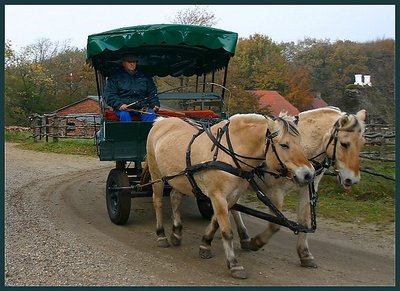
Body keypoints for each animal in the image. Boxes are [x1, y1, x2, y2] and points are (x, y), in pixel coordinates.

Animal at [145, 114, 316, 280]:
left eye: (300, 142)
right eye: (284, 145)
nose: (308, 174)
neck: (229, 154)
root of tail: (161, 121)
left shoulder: (230, 196)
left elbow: (216, 222)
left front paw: (205, 244)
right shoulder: (218, 195)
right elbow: (227, 231)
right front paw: (234, 264)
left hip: (181, 178)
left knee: (174, 197)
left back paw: (176, 232)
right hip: (157, 174)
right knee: (158, 202)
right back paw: (161, 235)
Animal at [231, 107, 366, 270]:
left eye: (362, 143)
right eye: (344, 144)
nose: (352, 179)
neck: (302, 151)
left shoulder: (306, 192)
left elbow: (303, 222)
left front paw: (305, 254)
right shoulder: (275, 193)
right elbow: (275, 223)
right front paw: (257, 242)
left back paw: (243, 236)